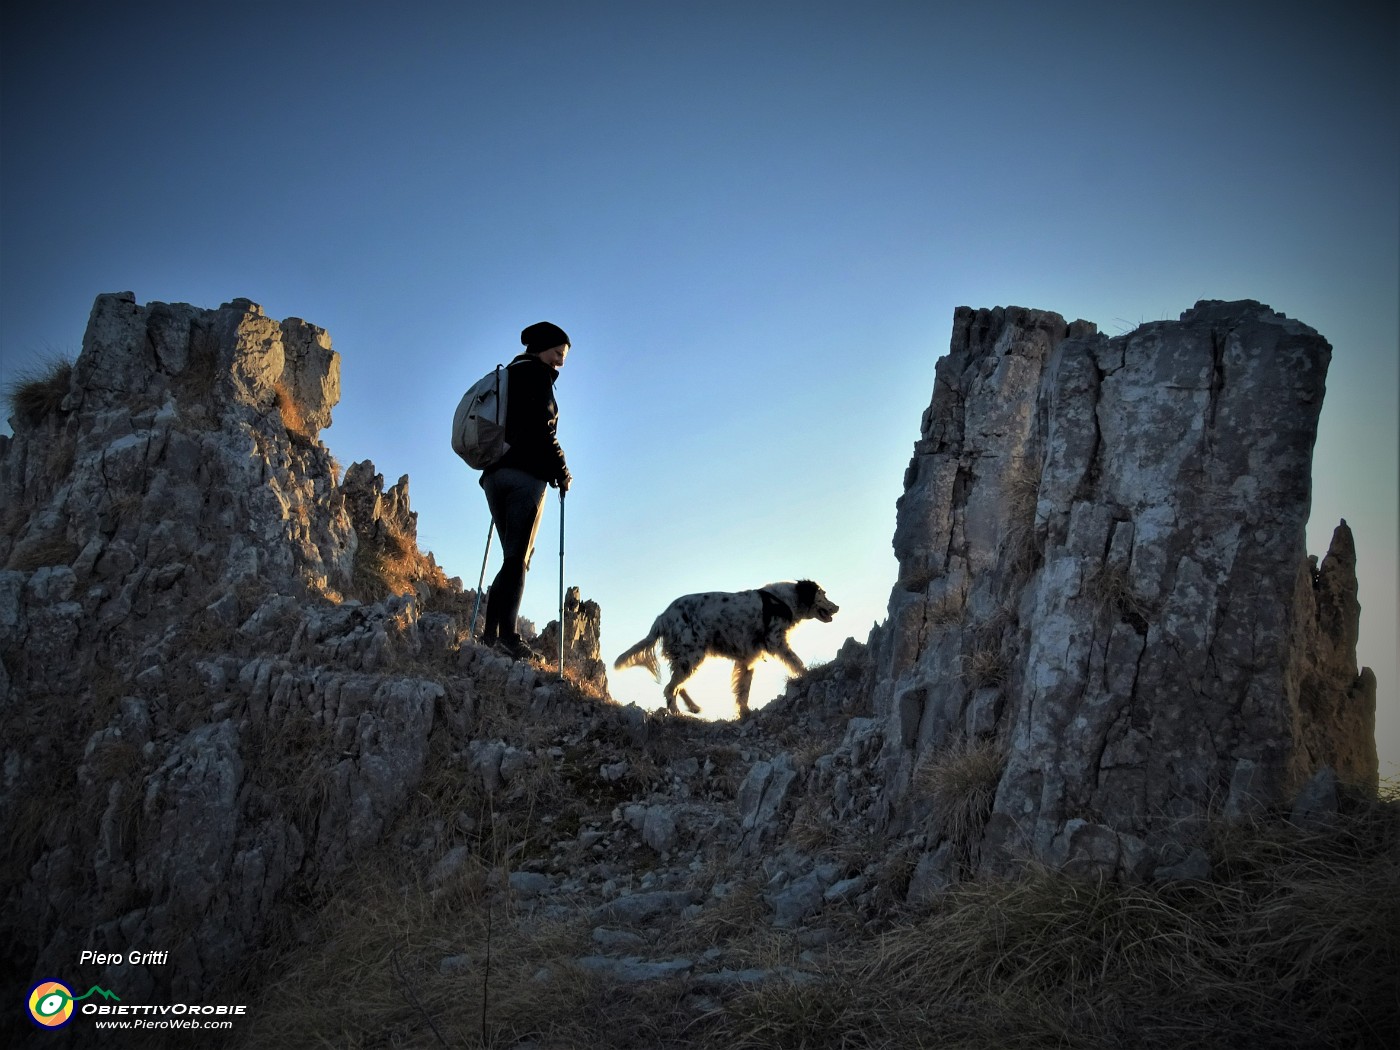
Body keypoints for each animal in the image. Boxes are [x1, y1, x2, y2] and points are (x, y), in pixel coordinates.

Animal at [616, 579, 834, 722]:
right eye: (823, 594)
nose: (837, 607)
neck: (782, 601)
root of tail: (663, 617)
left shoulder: (748, 659)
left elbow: (743, 690)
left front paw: (745, 712)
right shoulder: (776, 642)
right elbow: (796, 661)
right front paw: (808, 674)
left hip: (688, 658)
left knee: (678, 685)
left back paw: (693, 707)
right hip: (692, 655)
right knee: (670, 688)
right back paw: (677, 712)